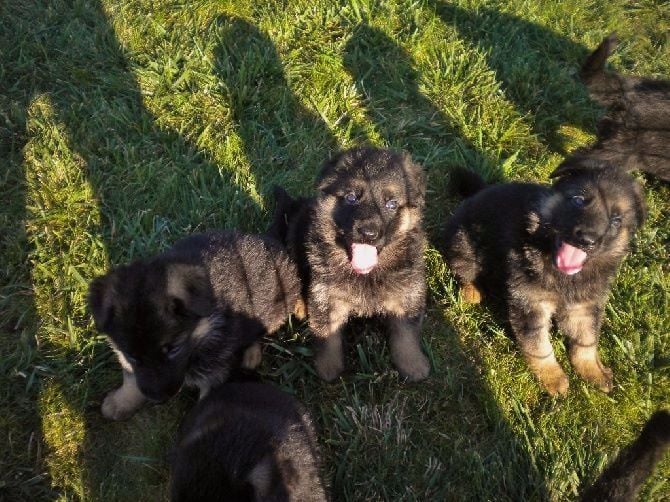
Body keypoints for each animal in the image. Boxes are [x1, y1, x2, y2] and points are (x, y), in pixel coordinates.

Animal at [87, 231, 302, 420]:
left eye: (174, 349)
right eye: (132, 355)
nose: (159, 399)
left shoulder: (216, 371)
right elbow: (131, 376)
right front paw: (121, 402)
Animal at [272, 147, 430, 382]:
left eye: (392, 204)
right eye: (351, 197)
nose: (369, 233)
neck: (367, 273)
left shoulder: (407, 293)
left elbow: (405, 333)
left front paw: (413, 365)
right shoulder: (327, 295)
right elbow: (328, 335)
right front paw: (328, 368)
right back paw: (301, 305)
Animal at [444, 157, 648, 396]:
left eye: (616, 220)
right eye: (578, 200)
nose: (586, 240)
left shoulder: (583, 308)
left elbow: (586, 341)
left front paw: (593, 370)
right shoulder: (531, 304)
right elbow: (539, 346)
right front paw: (553, 377)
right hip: (465, 246)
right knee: (465, 271)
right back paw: (471, 292)